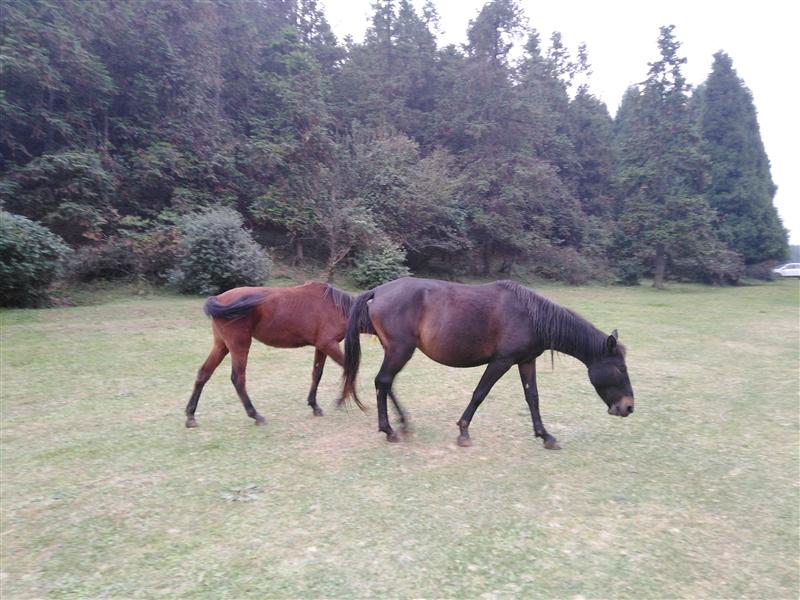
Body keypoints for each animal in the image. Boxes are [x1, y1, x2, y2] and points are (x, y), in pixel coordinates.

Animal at [185, 282, 364, 428]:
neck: (335, 306)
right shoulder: (329, 345)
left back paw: (190, 416)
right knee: (238, 379)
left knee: (204, 373)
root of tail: (218, 298)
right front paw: (343, 401)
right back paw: (255, 415)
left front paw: (315, 405)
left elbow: (317, 374)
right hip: (239, 345)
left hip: (221, 345)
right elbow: (350, 368)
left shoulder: (321, 347)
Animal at [342, 277, 634, 448]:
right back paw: (388, 429)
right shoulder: (501, 361)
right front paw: (463, 431)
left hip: (396, 351)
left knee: (386, 383)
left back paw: (402, 423)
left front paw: (545, 435)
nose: (628, 407)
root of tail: (378, 292)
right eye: (620, 369)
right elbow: (480, 393)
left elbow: (533, 398)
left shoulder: (526, 361)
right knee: (383, 382)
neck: (530, 316)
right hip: (400, 350)